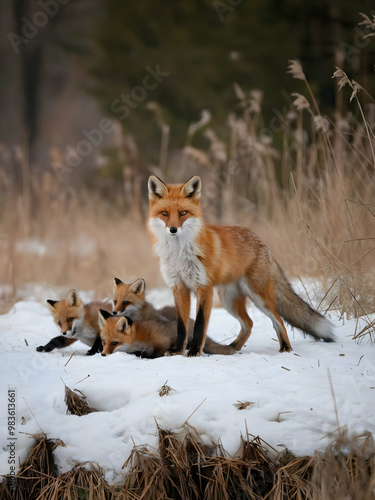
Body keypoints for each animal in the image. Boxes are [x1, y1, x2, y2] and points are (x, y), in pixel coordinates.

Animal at [147, 174, 334, 358]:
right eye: (164, 213)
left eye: (183, 213)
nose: (173, 229)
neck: (179, 254)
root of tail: (263, 243)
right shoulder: (179, 287)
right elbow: (181, 326)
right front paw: (177, 350)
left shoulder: (204, 287)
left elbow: (200, 324)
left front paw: (194, 352)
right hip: (229, 301)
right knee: (249, 323)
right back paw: (233, 347)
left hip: (260, 298)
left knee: (278, 320)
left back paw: (285, 347)